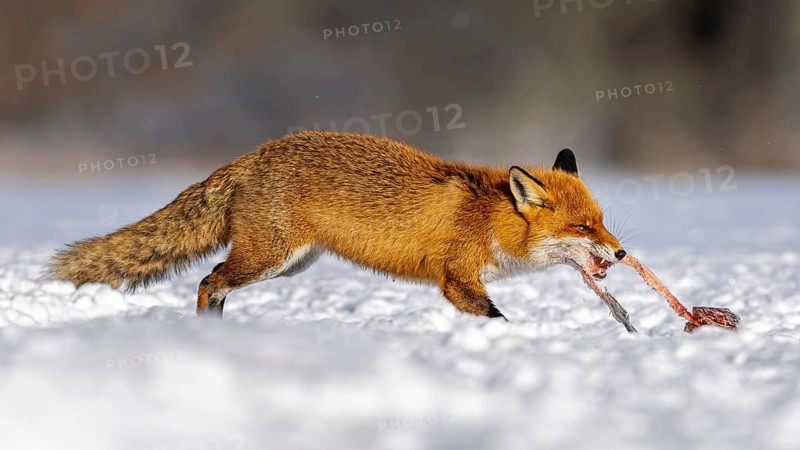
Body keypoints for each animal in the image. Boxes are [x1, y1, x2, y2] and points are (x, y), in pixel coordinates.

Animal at [47, 131, 626, 320]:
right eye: (583, 228)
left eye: (602, 223)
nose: (621, 254)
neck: (488, 218)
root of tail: (250, 156)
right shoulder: (456, 280)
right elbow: (496, 317)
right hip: (269, 257)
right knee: (209, 281)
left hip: (288, 266)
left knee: (214, 282)